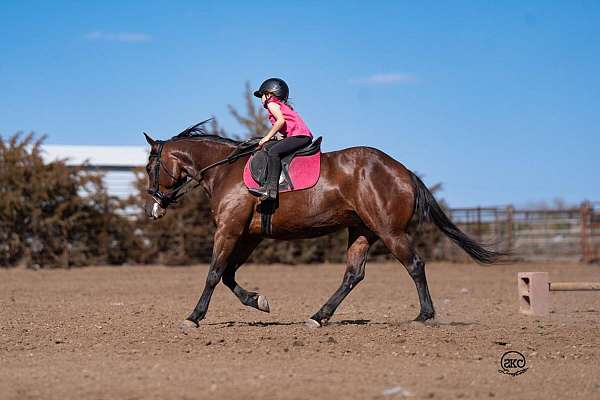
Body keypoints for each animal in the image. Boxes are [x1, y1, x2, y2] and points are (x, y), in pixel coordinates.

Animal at [142, 121, 502, 332]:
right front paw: (258, 301)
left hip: (389, 231)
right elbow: (228, 274)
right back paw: (319, 316)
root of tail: (404, 171)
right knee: (353, 274)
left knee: (414, 264)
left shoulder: (229, 230)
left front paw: (193, 317)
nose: (154, 205)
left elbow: (215, 273)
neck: (223, 170)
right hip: (362, 231)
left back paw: (424, 315)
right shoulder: (247, 235)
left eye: (149, 167)